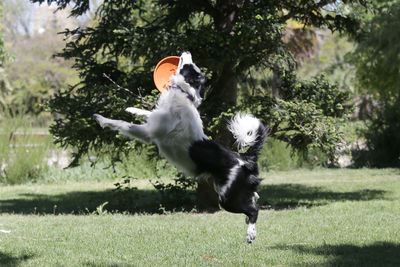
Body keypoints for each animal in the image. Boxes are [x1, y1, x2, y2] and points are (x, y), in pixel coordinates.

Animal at [94, 51, 268, 244]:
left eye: (189, 66)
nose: (187, 51)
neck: (184, 94)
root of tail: (244, 158)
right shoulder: (153, 121)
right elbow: (148, 113)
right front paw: (133, 109)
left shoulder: (148, 133)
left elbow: (122, 124)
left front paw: (102, 119)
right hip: (226, 188)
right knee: (254, 197)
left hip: (226, 198)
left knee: (254, 210)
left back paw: (250, 233)